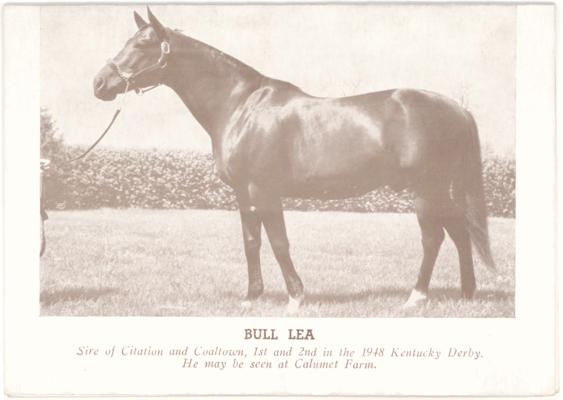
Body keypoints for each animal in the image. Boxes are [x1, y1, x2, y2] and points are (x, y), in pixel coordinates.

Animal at [91, 7, 494, 310]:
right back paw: (466, 293)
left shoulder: (265, 189)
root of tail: (457, 108)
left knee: (434, 237)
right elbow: (251, 242)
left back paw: (416, 297)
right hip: (438, 190)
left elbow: (278, 242)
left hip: (427, 189)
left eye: (143, 43)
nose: (99, 83)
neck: (241, 106)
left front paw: (296, 297)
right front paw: (251, 297)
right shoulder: (243, 193)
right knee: (459, 231)